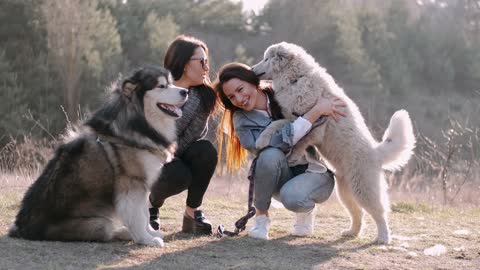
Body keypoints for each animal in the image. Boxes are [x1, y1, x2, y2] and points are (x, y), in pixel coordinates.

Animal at [9, 66, 188, 247]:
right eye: (161, 86)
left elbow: (144, 212)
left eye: (172, 83)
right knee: (108, 231)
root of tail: (22, 229)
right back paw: (125, 232)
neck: (138, 121)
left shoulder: (142, 184)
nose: (186, 91)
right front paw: (146, 239)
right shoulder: (132, 183)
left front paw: (150, 232)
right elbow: (139, 216)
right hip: (99, 224)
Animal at [253, 42, 414, 245]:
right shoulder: (293, 118)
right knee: (358, 213)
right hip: (345, 191)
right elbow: (276, 124)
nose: (251, 70)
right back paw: (351, 232)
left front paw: (293, 155)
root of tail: (375, 152)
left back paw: (383, 238)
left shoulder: (315, 124)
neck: (297, 79)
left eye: (266, 59)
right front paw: (262, 138)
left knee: (379, 212)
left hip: (363, 188)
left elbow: (299, 140)